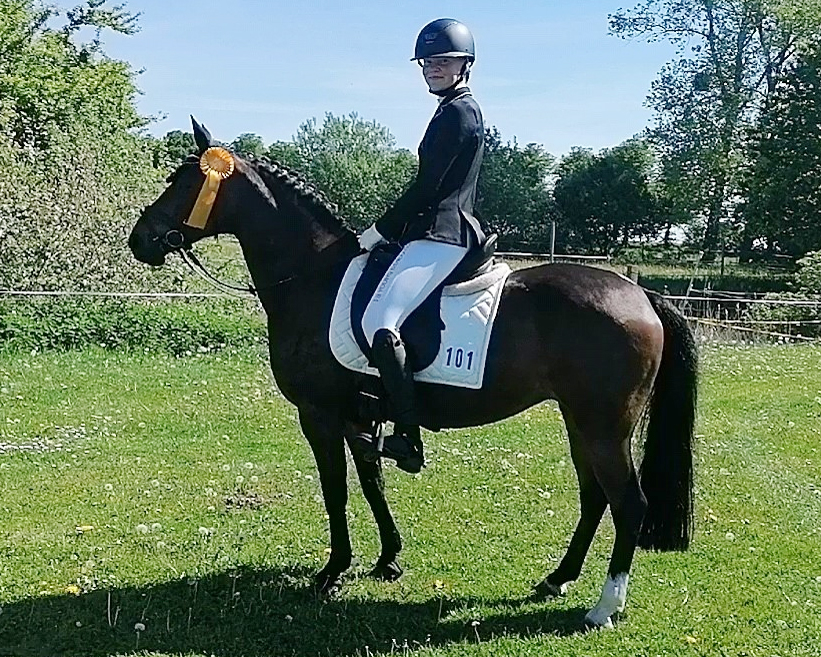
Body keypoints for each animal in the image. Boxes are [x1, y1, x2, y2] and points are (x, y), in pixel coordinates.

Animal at [128, 119, 697, 629]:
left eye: (181, 180)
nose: (141, 240)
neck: (313, 278)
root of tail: (640, 294)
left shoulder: (319, 415)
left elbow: (336, 489)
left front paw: (333, 572)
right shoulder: (358, 416)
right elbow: (371, 482)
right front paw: (387, 559)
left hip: (603, 427)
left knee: (629, 503)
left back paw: (604, 608)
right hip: (581, 423)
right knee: (595, 495)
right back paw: (556, 579)